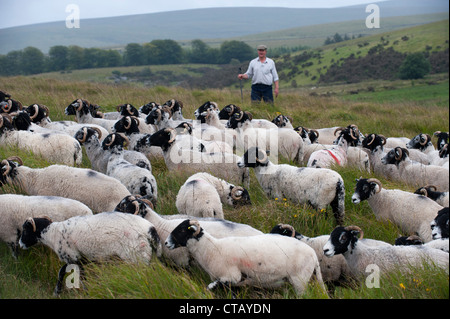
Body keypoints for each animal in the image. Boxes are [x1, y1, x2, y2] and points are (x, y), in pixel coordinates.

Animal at [19, 214, 163, 296]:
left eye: (25, 230)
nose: (20, 244)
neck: (52, 234)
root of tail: (150, 229)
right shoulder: (81, 258)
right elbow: (66, 272)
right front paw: (57, 291)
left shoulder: (72, 256)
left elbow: (74, 275)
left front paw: (85, 292)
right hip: (147, 255)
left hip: (137, 256)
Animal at [164, 221, 324, 296]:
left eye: (182, 229)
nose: (166, 243)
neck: (211, 248)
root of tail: (313, 254)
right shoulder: (232, 284)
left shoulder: (231, 276)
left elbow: (209, 287)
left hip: (299, 280)